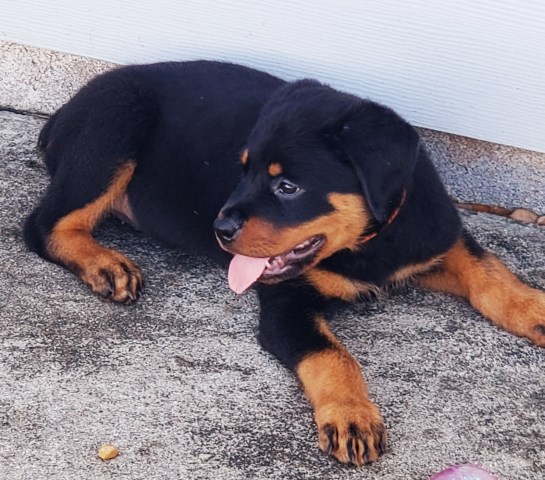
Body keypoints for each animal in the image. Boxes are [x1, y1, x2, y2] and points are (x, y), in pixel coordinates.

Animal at [24, 59, 544, 464]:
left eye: (287, 186)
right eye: (243, 168)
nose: (220, 229)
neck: (371, 242)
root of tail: (64, 110)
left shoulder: (434, 237)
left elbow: (487, 269)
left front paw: (532, 308)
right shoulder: (286, 303)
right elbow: (332, 355)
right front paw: (352, 416)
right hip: (118, 122)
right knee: (43, 225)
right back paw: (105, 264)